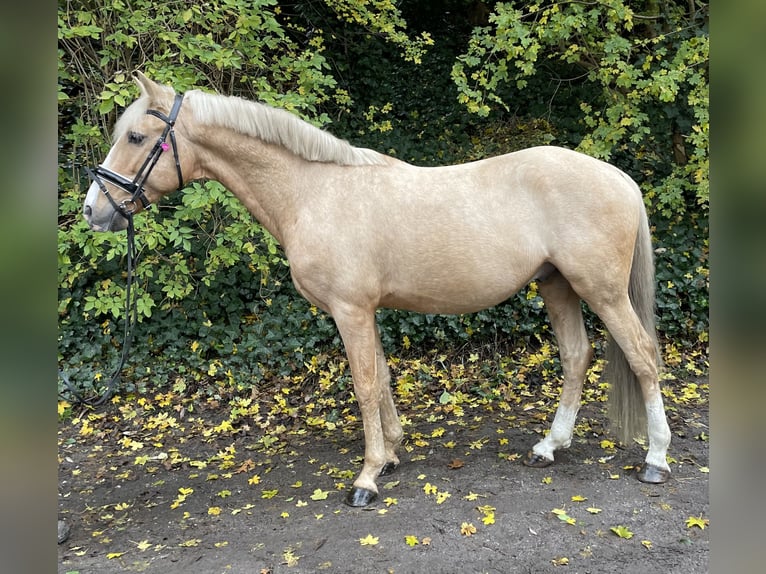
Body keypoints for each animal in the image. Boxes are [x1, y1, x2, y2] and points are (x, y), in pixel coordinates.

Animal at [82, 72, 672, 508]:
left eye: (136, 138)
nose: (93, 211)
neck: (312, 192)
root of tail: (620, 178)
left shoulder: (350, 310)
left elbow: (365, 385)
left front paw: (365, 479)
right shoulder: (365, 312)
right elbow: (383, 379)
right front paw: (389, 455)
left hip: (602, 291)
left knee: (643, 356)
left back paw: (656, 460)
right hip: (557, 286)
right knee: (576, 356)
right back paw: (550, 446)